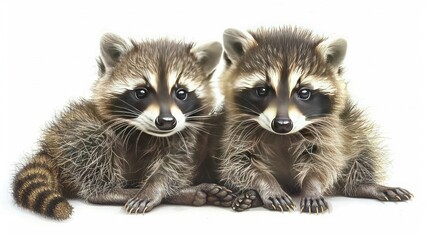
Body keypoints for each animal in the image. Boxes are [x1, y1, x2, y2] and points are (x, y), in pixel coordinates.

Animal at [11, 33, 232, 219]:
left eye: (181, 93)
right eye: (141, 92)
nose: (167, 122)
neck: (148, 134)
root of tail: (49, 146)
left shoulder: (184, 135)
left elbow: (173, 165)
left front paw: (154, 187)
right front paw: (155, 191)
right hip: (72, 129)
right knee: (92, 140)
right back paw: (115, 191)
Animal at [217, 27, 412, 213]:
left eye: (304, 93)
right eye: (262, 91)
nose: (282, 124)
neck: (283, 136)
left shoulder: (329, 130)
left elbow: (324, 160)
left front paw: (312, 186)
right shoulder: (238, 131)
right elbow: (239, 163)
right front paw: (267, 184)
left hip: (352, 125)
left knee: (363, 149)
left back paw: (362, 185)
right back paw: (251, 197)